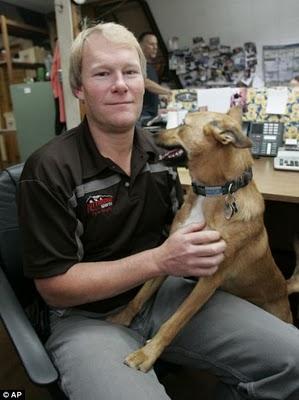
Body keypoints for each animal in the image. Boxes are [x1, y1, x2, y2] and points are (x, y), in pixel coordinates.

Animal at [108, 106, 299, 372]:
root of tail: (282, 287)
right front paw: (122, 318)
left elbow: (175, 321)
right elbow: (140, 296)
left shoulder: (209, 279)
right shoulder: (169, 253)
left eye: (183, 124)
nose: (148, 132)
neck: (212, 194)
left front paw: (147, 354)